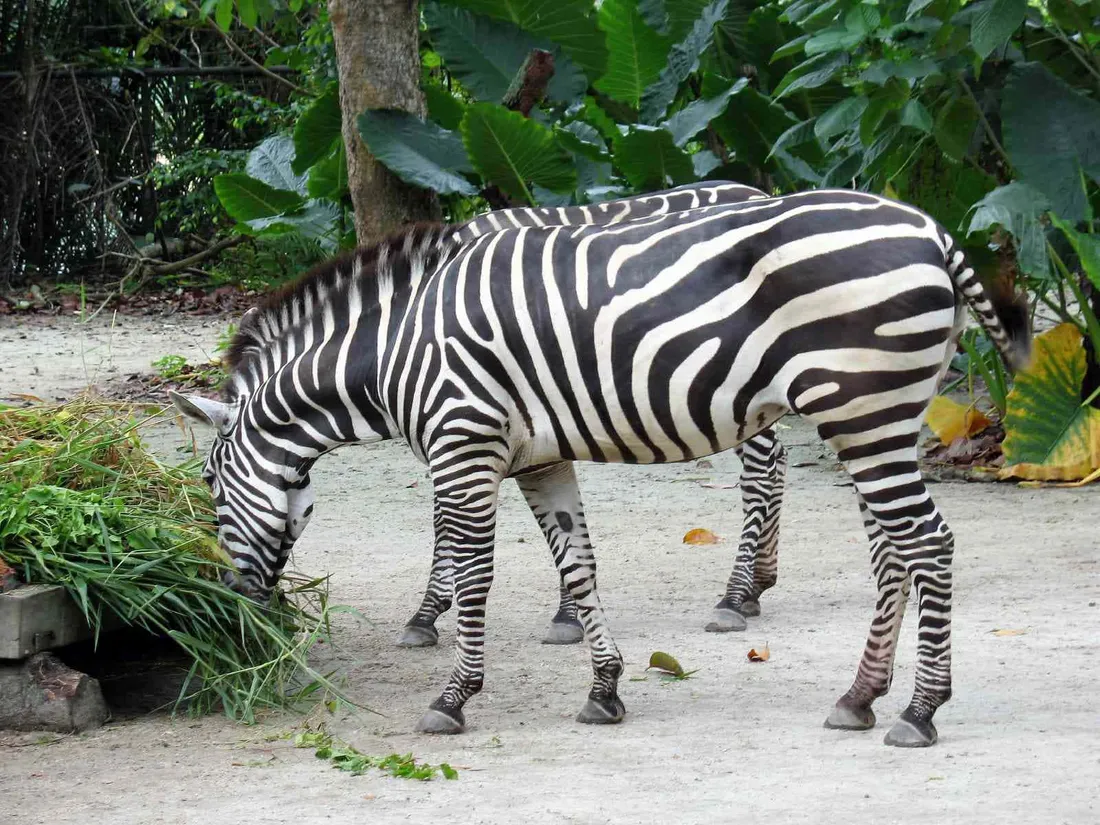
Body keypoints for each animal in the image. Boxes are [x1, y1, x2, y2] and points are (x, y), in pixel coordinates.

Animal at [400, 180, 785, 648]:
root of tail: (752, 189)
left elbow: (448, 517)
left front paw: (428, 613)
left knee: (760, 472)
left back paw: (732, 597)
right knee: (777, 461)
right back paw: (756, 586)